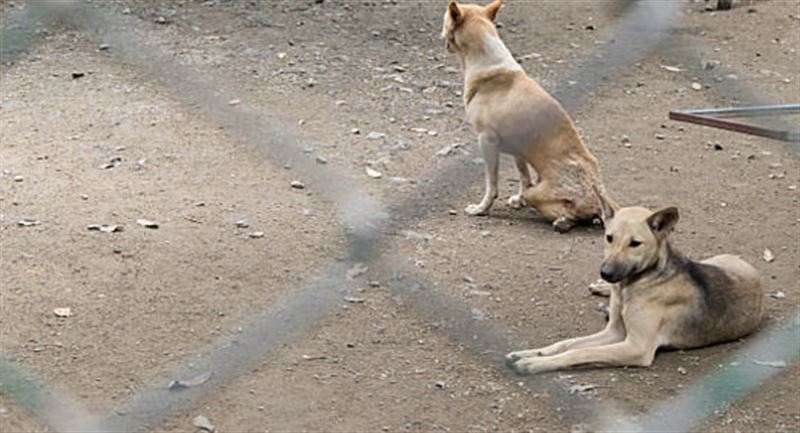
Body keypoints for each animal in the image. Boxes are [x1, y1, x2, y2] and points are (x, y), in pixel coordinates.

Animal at [440, 0, 616, 233]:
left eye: (445, 21)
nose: (441, 38)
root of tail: (599, 196)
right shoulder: (518, 150)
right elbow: (523, 176)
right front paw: (517, 199)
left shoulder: (487, 141)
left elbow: (491, 184)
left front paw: (481, 209)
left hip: (543, 194)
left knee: (570, 214)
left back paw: (563, 221)